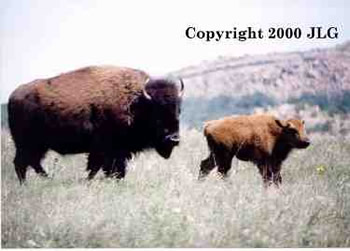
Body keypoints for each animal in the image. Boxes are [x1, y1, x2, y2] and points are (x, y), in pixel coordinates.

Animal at [7, 65, 183, 183]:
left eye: (178, 111)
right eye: (157, 114)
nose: (173, 139)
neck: (136, 102)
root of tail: (13, 96)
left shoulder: (116, 151)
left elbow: (106, 168)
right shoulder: (107, 149)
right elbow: (102, 167)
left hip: (37, 146)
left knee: (31, 162)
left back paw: (46, 179)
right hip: (27, 144)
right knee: (22, 163)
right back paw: (29, 184)